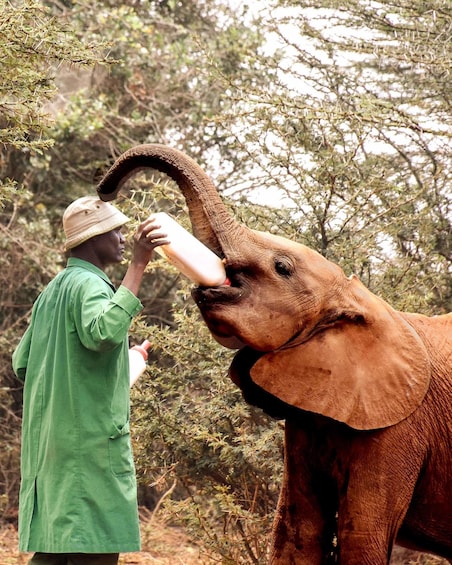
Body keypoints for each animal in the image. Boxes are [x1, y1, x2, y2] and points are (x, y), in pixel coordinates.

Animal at [97, 143, 450, 560]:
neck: (359, 300)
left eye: (281, 267)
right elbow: (297, 528)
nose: (104, 191)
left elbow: (361, 536)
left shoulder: (397, 428)